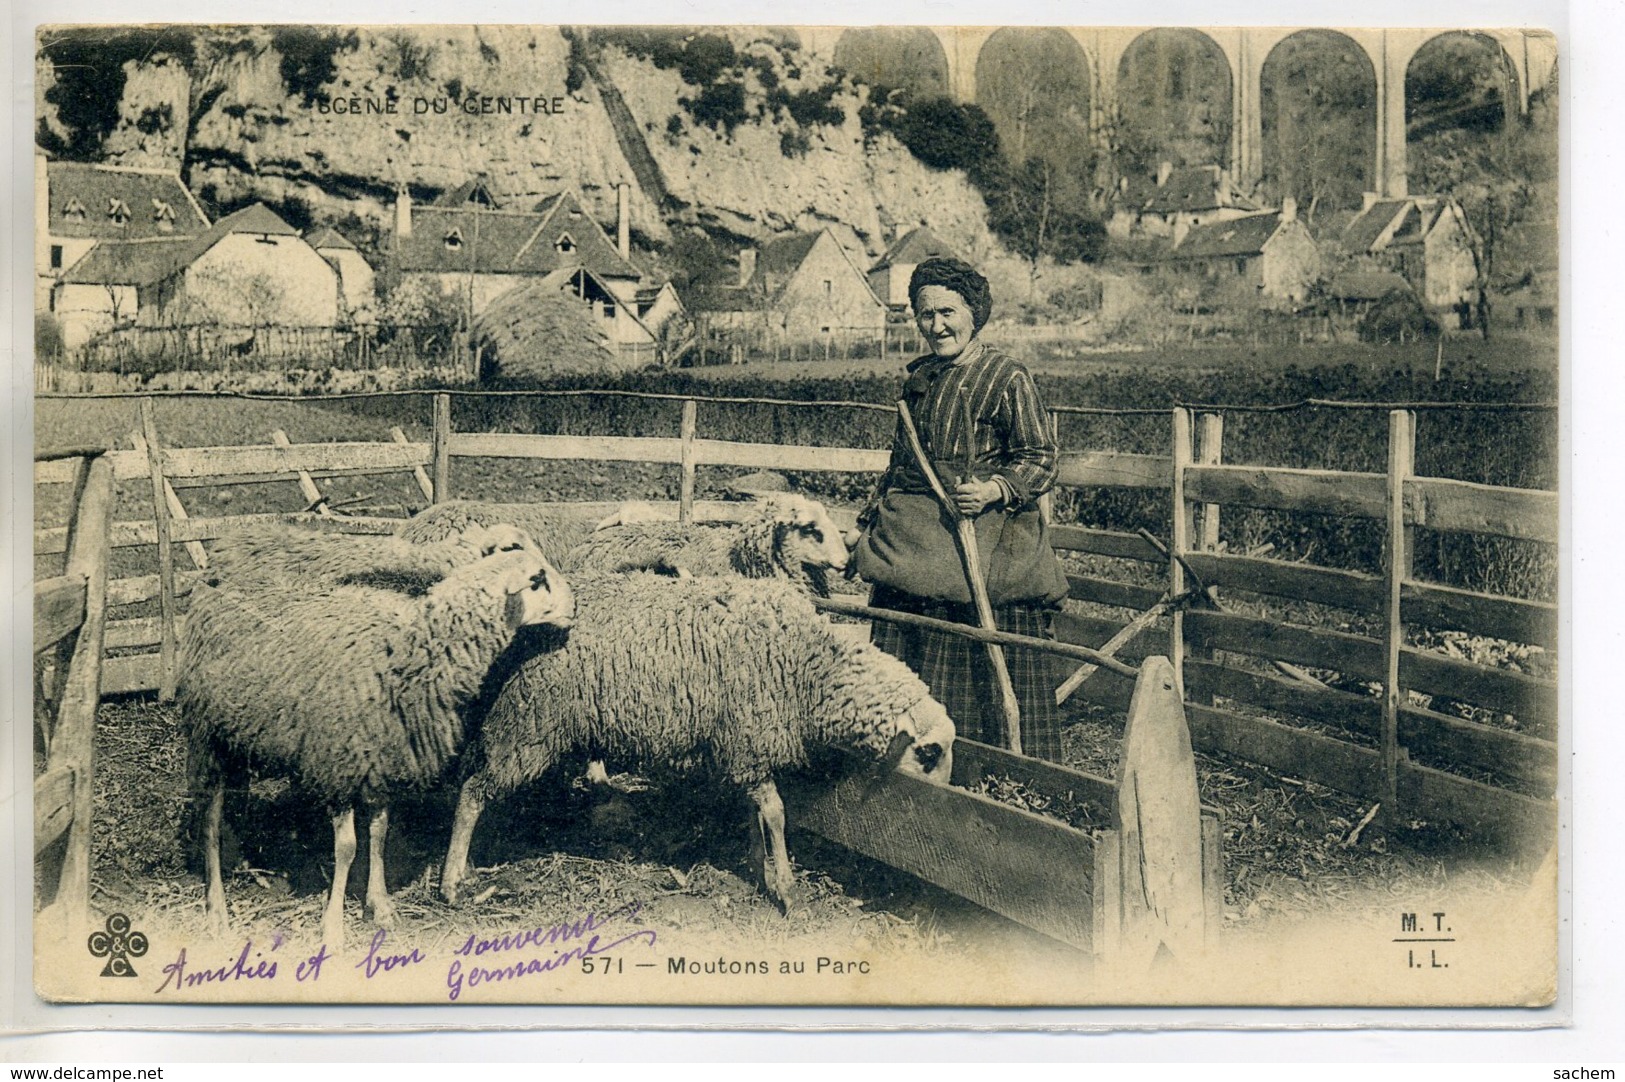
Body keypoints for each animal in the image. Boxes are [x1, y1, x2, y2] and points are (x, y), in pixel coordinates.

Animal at [181, 542, 575, 942]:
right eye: (537, 580)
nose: (574, 608)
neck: (412, 647)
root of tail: (214, 583)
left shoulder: (383, 758)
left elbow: (379, 834)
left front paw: (381, 907)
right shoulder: (338, 764)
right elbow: (346, 848)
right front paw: (333, 925)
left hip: (237, 735)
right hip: (206, 735)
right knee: (209, 823)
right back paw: (217, 909)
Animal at [438, 571, 955, 909]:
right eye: (928, 753)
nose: (946, 797)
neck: (811, 664)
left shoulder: (742, 748)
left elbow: (755, 812)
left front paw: (758, 866)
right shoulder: (749, 739)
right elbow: (775, 812)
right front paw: (786, 886)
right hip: (530, 722)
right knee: (473, 792)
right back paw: (451, 881)